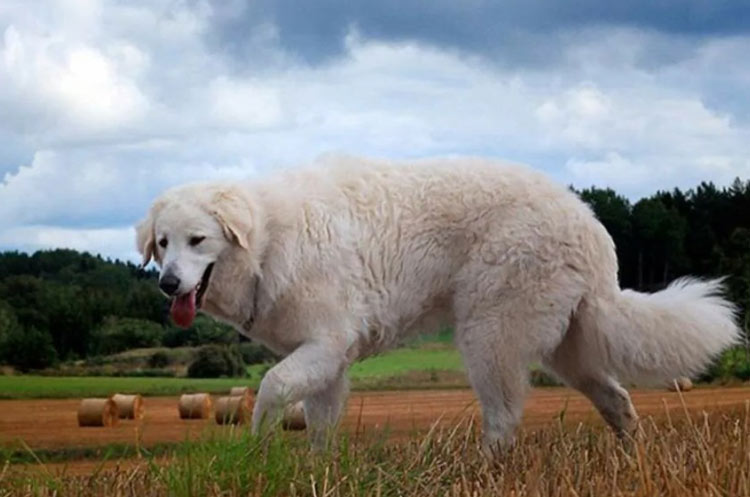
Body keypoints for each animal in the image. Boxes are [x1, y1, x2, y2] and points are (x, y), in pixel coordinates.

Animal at [135, 156, 740, 454]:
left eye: (198, 240)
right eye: (162, 243)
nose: (167, 284)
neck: (267, 240)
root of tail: (589, 224)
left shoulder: (325, 345)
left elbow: (270, 389)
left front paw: (256, 448)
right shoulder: (328, 360)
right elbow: (318, 424)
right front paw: (315, 471)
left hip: (489, 337)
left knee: (503, 418)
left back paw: (487, 471)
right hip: (567, 348)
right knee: (617, 399)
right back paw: (632, 457)